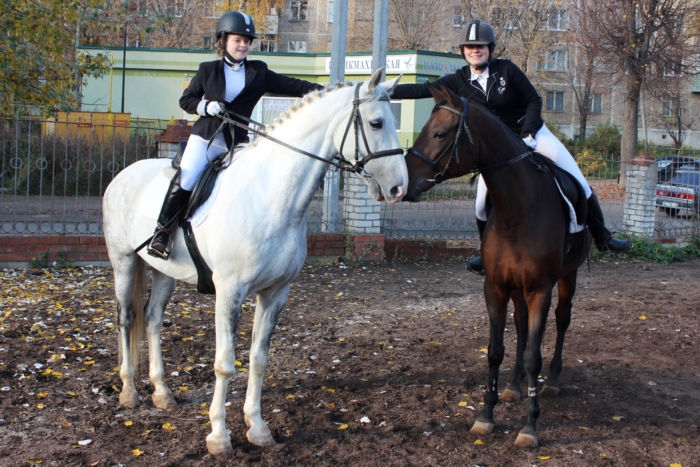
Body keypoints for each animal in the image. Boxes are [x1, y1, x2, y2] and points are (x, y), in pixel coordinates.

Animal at [102, 69, 408, 458]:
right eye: (376, 122)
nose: (400, 188)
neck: (270, 195)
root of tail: (125, 173)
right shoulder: (229, 292)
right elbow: (224, 364)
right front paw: (219, 436)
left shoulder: (276, 293)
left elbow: (258, 359)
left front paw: (258, 428)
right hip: (123, 262)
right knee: (127, 319)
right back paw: (129, 392)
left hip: (163, 272)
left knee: (153, 319)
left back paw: (162, 393)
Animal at [404, 86, 592, 448]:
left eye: (439, 133)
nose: (404, 184)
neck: (517, 210)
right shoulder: (495, 287)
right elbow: (495, 350)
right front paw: (485, 415)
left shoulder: (539, 290)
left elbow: (534, 355)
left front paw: (530, 426)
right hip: (517, 289)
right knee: (520, 326)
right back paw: (514, 386)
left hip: (567, 276)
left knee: (562, 320)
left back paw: (552, 381)